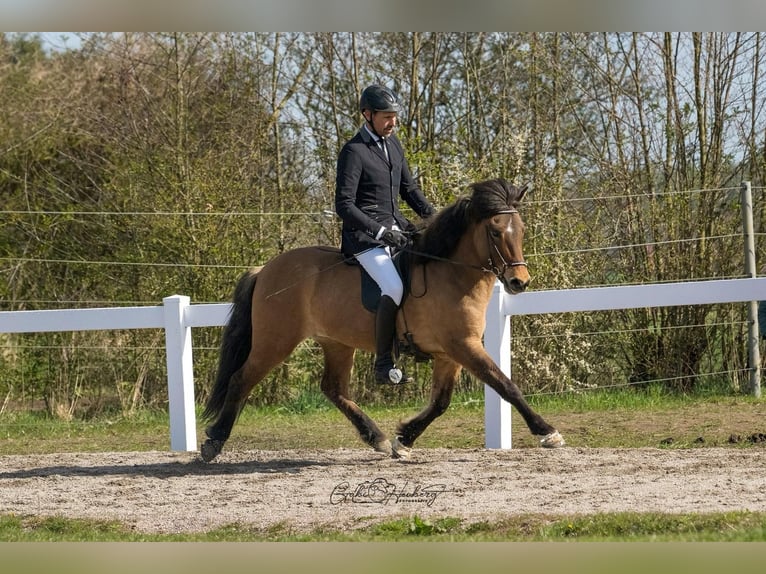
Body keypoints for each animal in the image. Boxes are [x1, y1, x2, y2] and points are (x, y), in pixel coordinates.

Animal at [200, 178, 565, 462]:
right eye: (494, 232)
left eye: (521, 230)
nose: (519, 282)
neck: (452, 274)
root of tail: (265, 270)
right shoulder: (463, 346)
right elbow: (505, 385)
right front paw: (547, 432)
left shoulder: (451, 352)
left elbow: (441, 401)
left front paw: (404, 439)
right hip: (275, 341)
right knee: (241, 379)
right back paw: (213, 441)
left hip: (336, 342)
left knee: (332, 388)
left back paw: (377, 438)